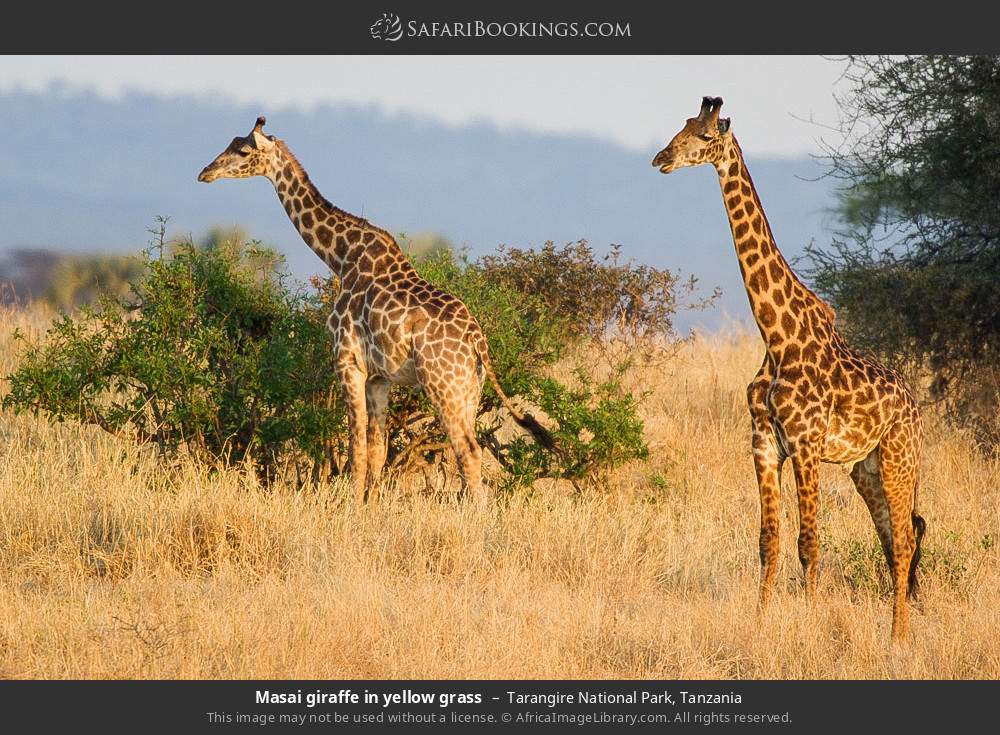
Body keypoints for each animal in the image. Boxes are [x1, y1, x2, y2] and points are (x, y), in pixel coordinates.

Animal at [198, 116, 553, 502]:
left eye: (242, 150)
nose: (205, 172)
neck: (340, 257)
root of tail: (478, 341)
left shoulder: (347, 360)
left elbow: (356, 447)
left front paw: (352, 506)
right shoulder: (381, 377)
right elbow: (377, 450)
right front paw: (371, 504)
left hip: (442, 386)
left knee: (468, 451)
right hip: (470, 390)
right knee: (469, 448)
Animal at [652, 97, 926, 641]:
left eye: (706, 136)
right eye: (683, 126)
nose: (661, 159)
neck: (775, 336)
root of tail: (915, 408)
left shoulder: (805, 444)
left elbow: (809, 543)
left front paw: (815, 621)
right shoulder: (762, 442)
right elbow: (769, 540)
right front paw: (759, 623)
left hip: (898, 459)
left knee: (906, 541)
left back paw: (899, 638)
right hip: (865, 469)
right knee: (892, 541)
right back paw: (896, 628)